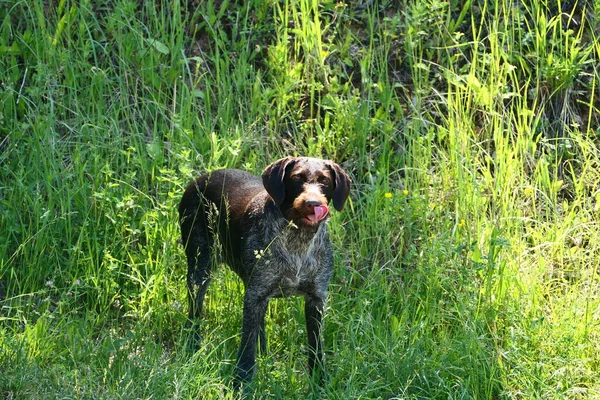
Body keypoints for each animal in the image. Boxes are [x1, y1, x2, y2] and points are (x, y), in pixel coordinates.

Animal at [176, 156, 350, 384]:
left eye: (324, 181)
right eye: (297, 178)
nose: (313, 203)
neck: (298, 241)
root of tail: (199, 179)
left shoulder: (315, 299)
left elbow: (316, 346)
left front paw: (319, 380)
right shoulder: (255, 294)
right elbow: (247, 344)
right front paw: (242, 380)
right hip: (200, 268)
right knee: (195, 313)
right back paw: (193, 344)